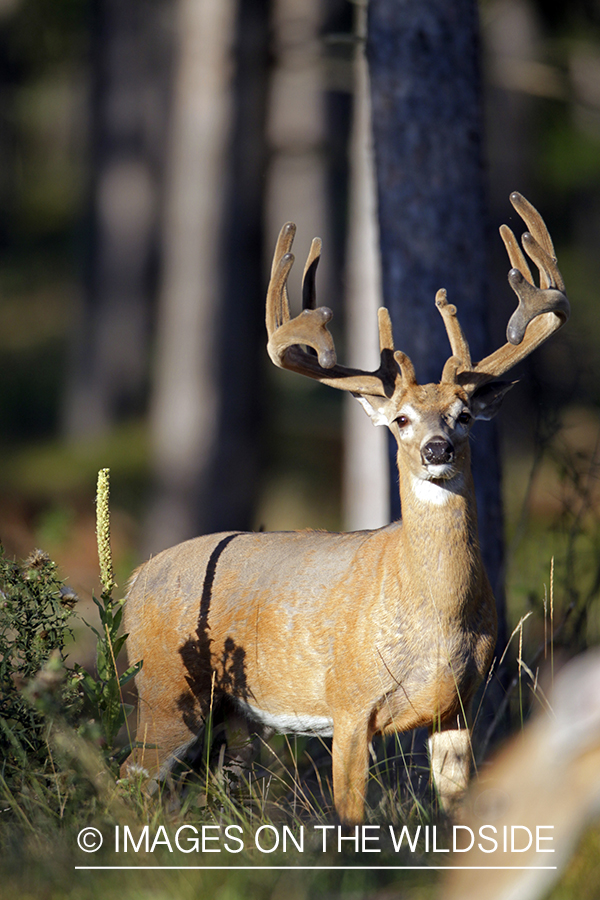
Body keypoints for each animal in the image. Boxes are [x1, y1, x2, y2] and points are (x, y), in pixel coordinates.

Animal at [122, 193, 568, 828]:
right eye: (401, 419)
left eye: (463, 414)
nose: (438, 449)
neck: (436, 614)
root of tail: (134, 578)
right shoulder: (350, 703)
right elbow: (349, 817)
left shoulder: (459, 705)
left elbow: (457, 811)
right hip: (164, 688)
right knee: (127, 779)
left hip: (229, 715)